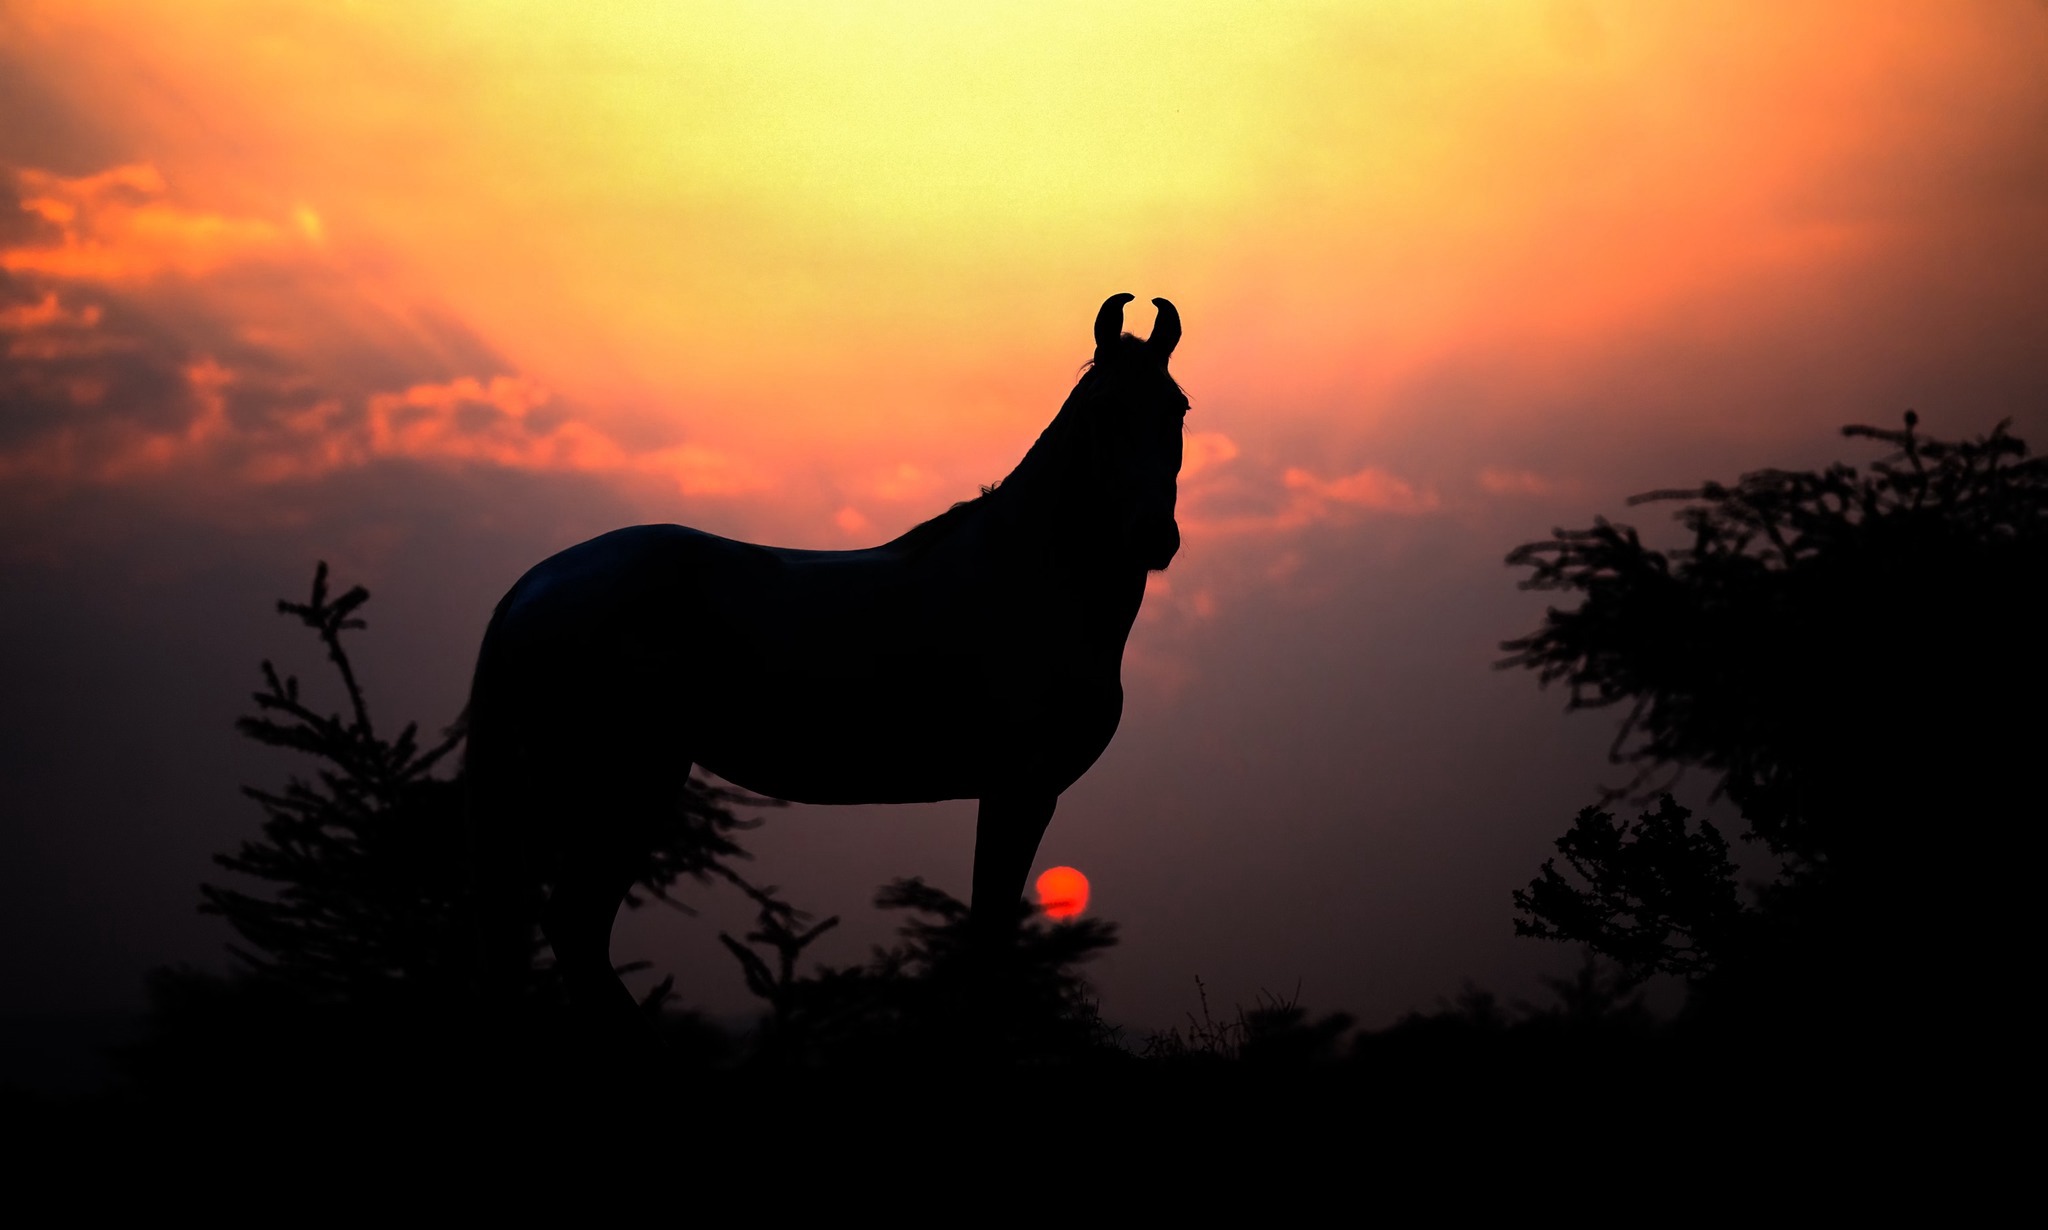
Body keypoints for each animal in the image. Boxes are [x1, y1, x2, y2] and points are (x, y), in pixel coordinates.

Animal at [464, 293, 1187, 1030]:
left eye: (1177, 409)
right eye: (1103, 411)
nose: (1153, 537)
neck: (1031, 579)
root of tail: (536, 583)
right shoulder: (1019, 787)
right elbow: (987, 936)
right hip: (624, 780)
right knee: (575, 925)